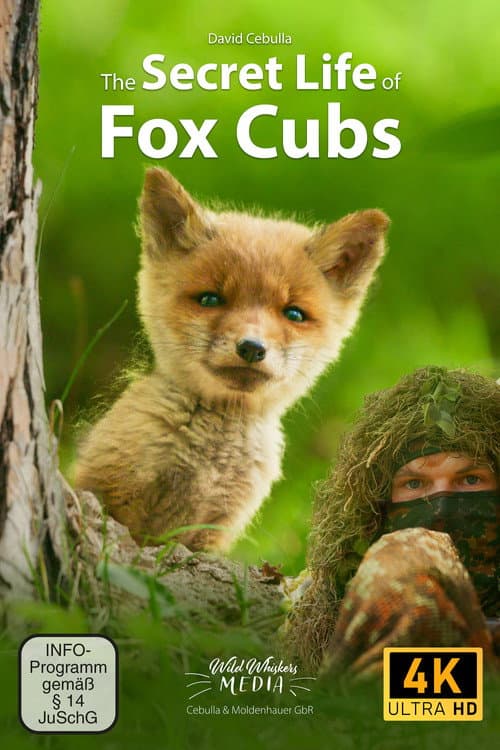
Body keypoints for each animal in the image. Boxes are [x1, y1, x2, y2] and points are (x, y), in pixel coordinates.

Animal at [74, 168, 390, 552]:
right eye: (210, 299)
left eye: (294, 314)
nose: (252, 348)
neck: (210, 460)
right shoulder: (110, 491)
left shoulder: (215, 531)